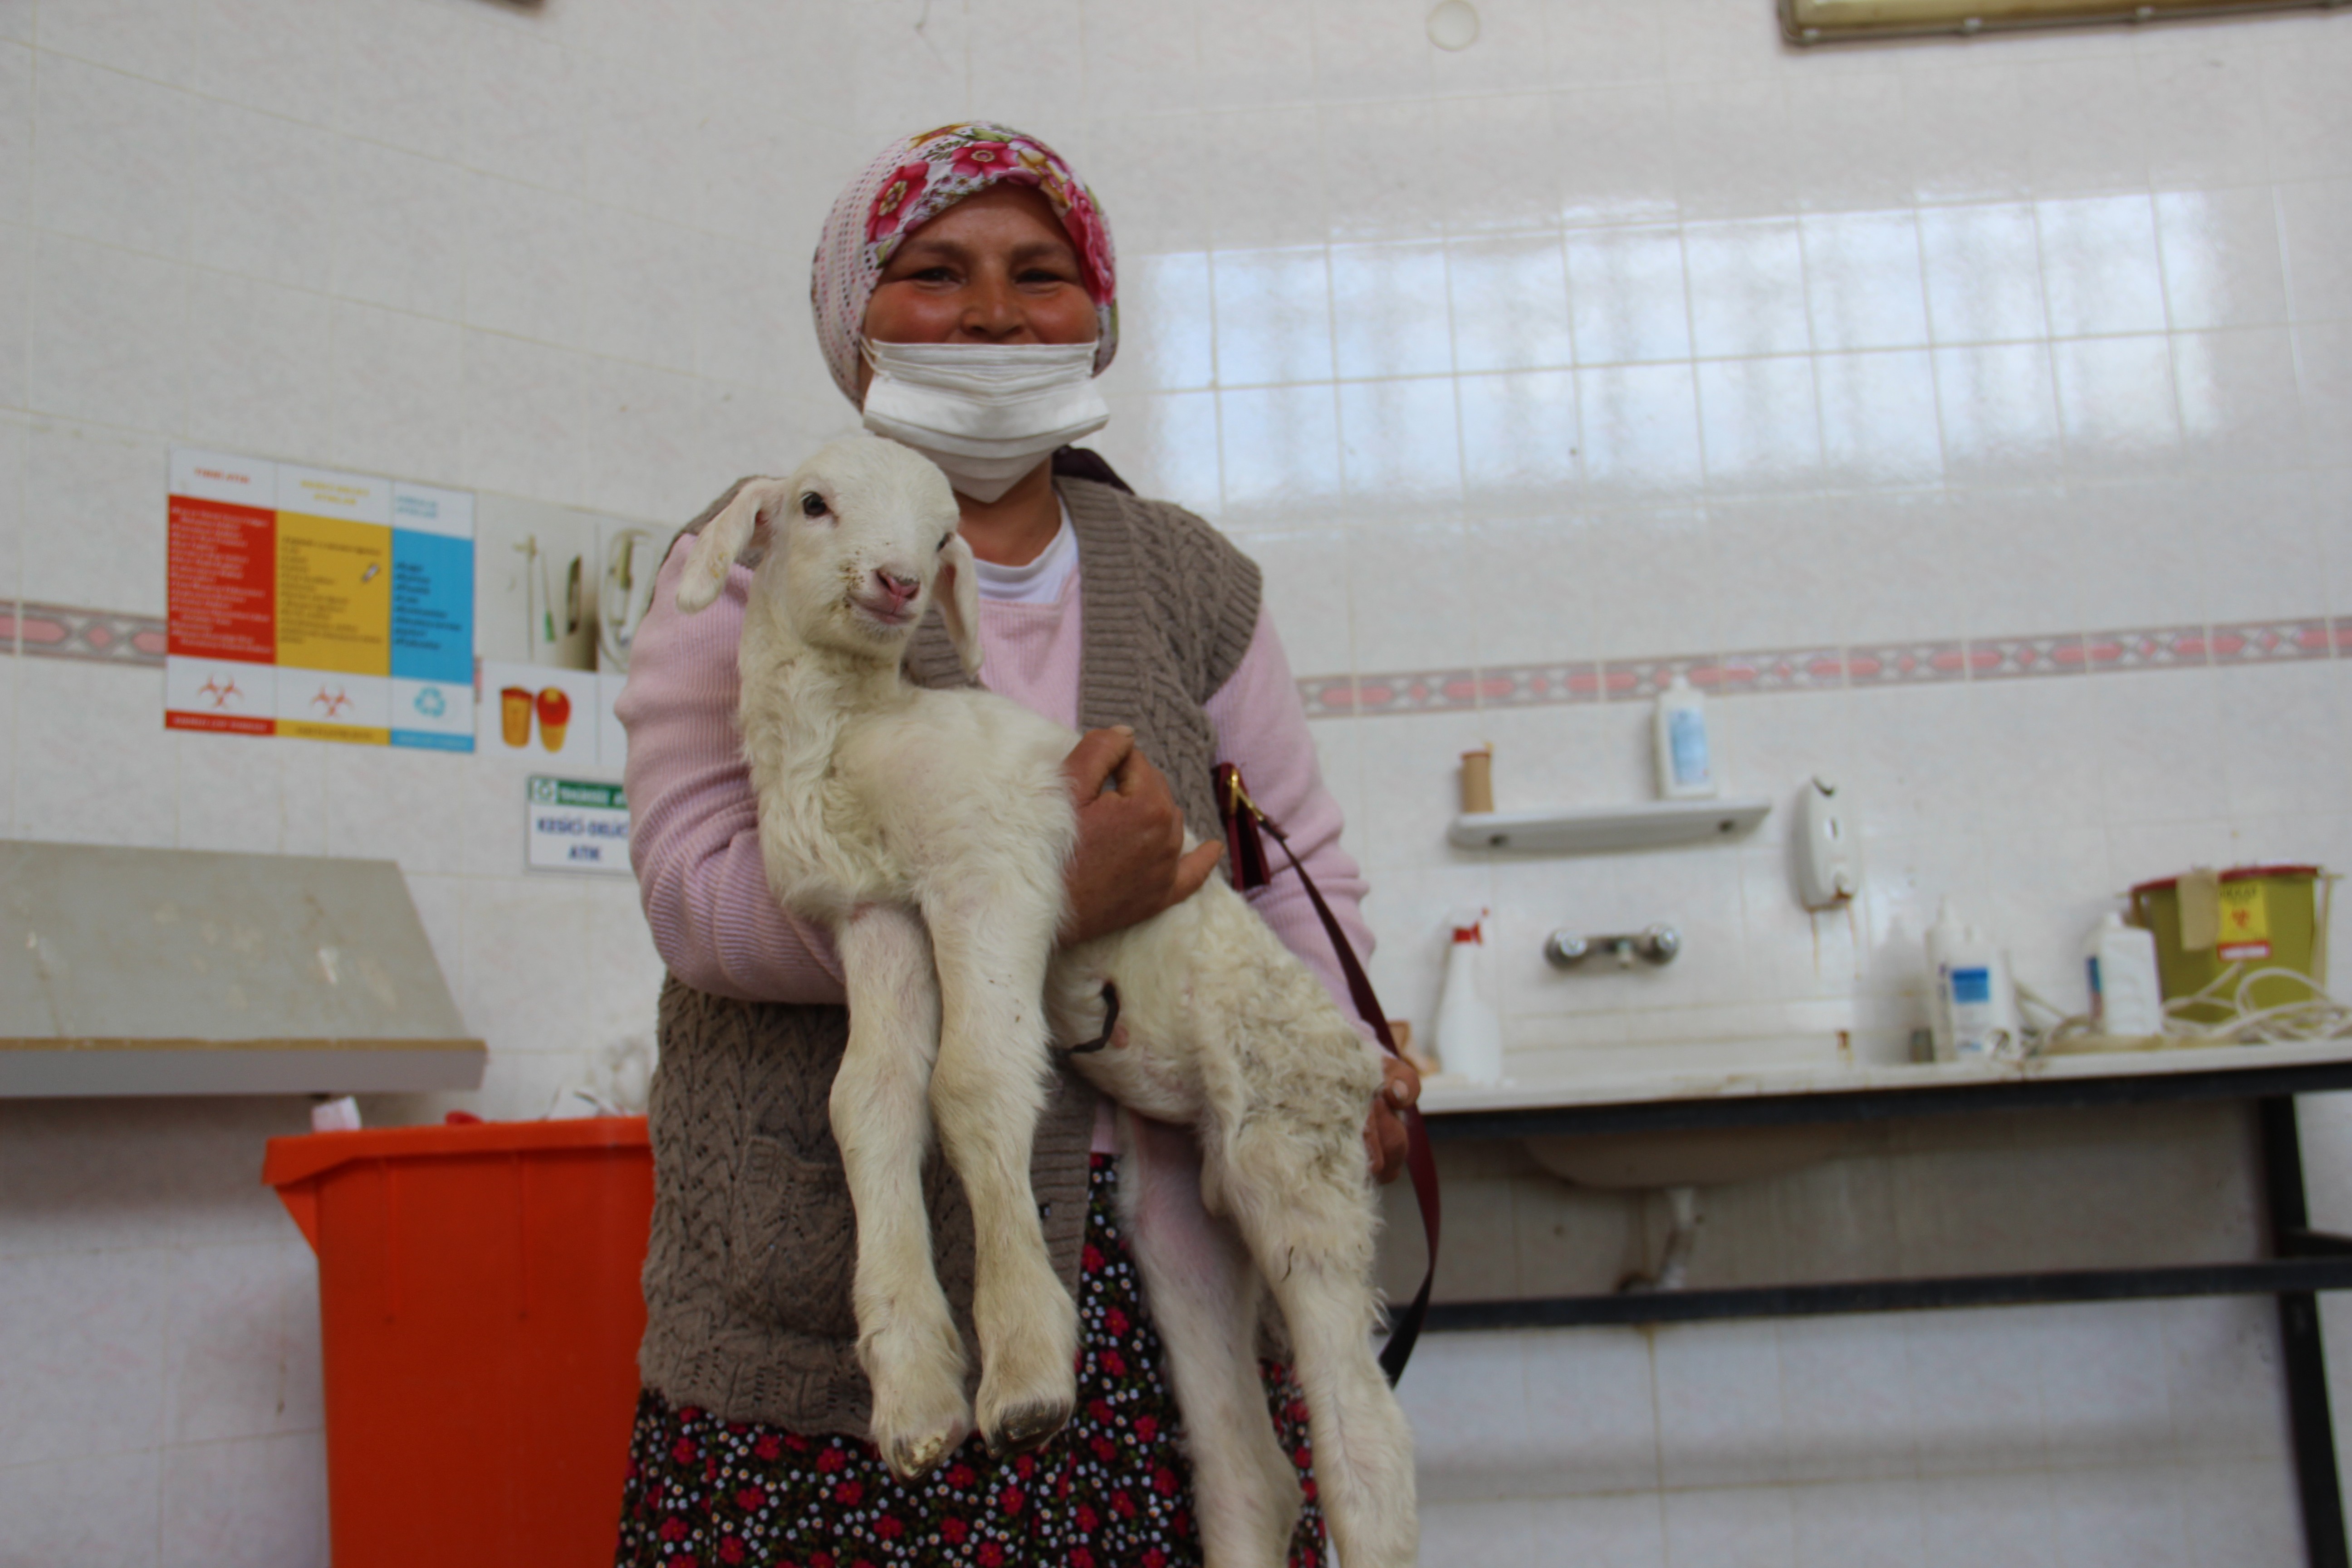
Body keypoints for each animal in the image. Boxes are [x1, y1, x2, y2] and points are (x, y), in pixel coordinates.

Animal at [672, 435, 1421, 1568]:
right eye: (813, 504)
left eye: (945, 535)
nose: (898, 583)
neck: (854, 733)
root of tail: (1363, 1061)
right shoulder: (875, 911)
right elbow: (870, 1103)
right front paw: (915, 1395)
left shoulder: (990, 870)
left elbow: (971, 1083)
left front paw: (1023, 1373)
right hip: (1185, 1221)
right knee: (1256, 1474)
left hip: (1295, 1153)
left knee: (1367, 1448)